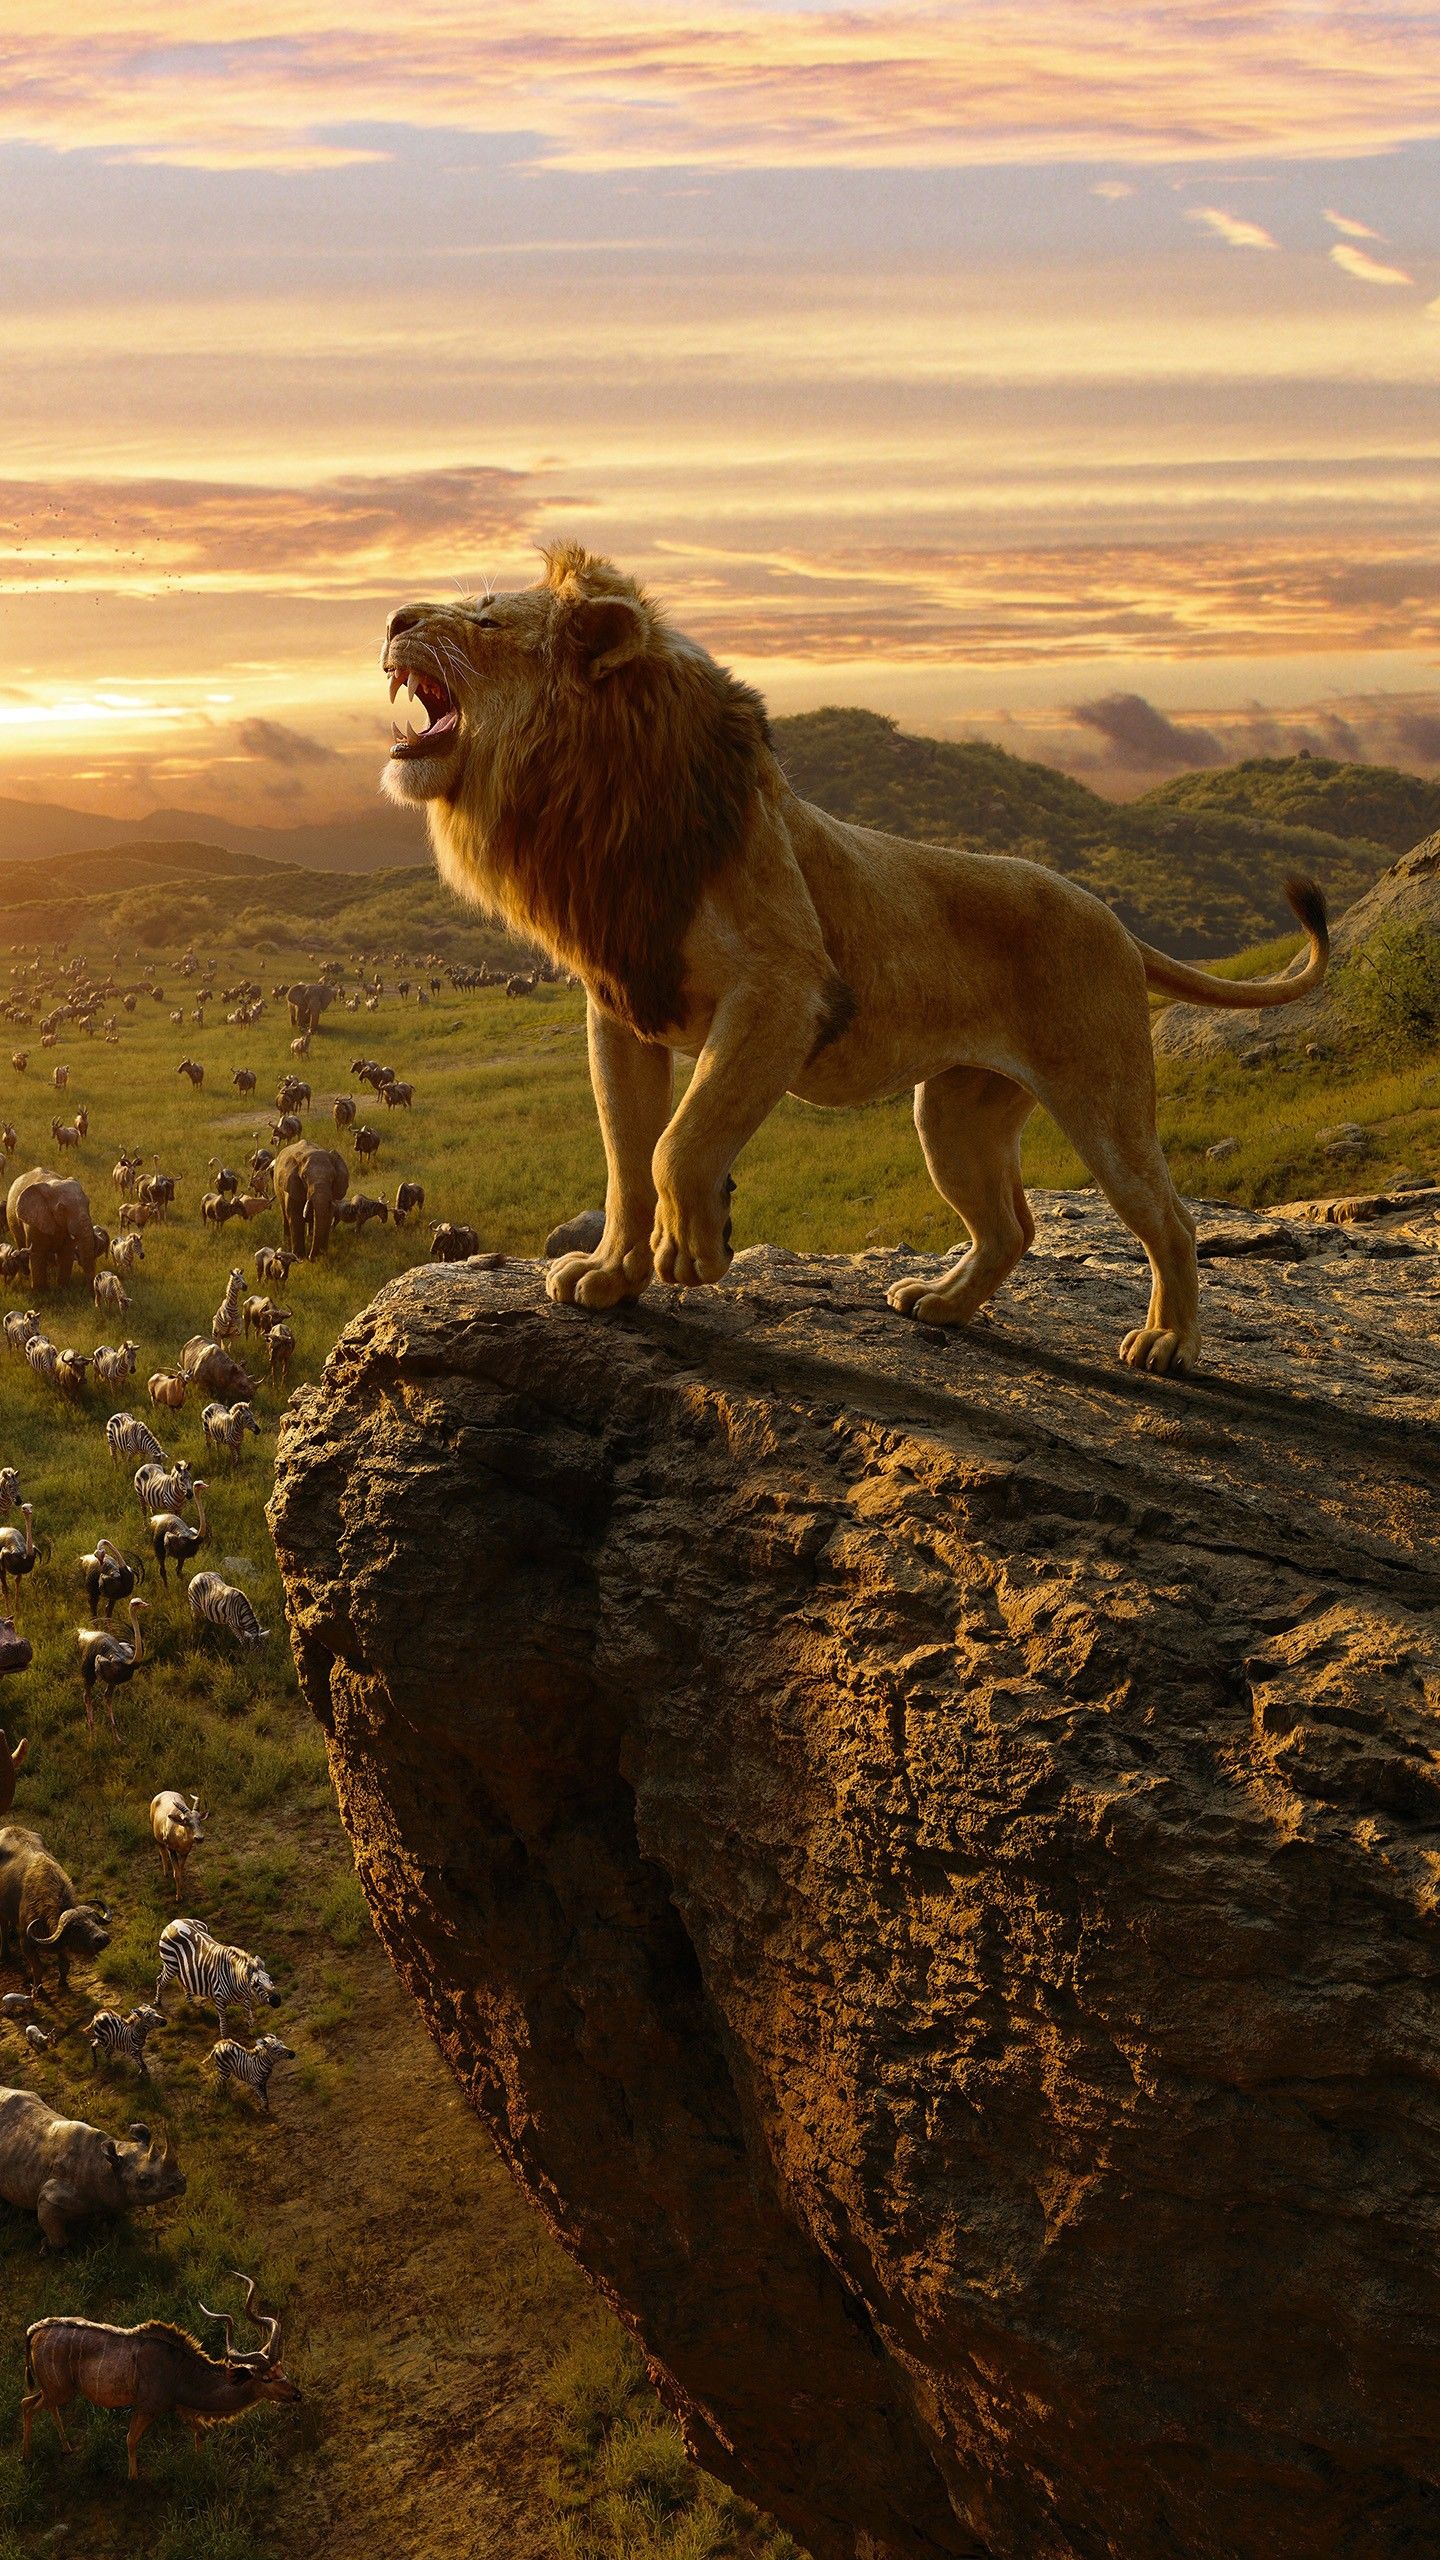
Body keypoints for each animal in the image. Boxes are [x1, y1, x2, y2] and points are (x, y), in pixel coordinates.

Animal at [381, 546, 1328, 1375]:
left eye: (485, 616)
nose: (391, 618)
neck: (590, 806)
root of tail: (1116, 921)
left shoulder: (785, 990)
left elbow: (679, 1143)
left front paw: (695, 1249)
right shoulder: (622, 1006)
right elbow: (625, 1157)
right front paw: (612, 1276)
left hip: (1103, 1099)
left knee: (1169, 1218)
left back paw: (1168, 1343)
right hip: (954, 1114)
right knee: (1011, 1227)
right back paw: (940, 1304)